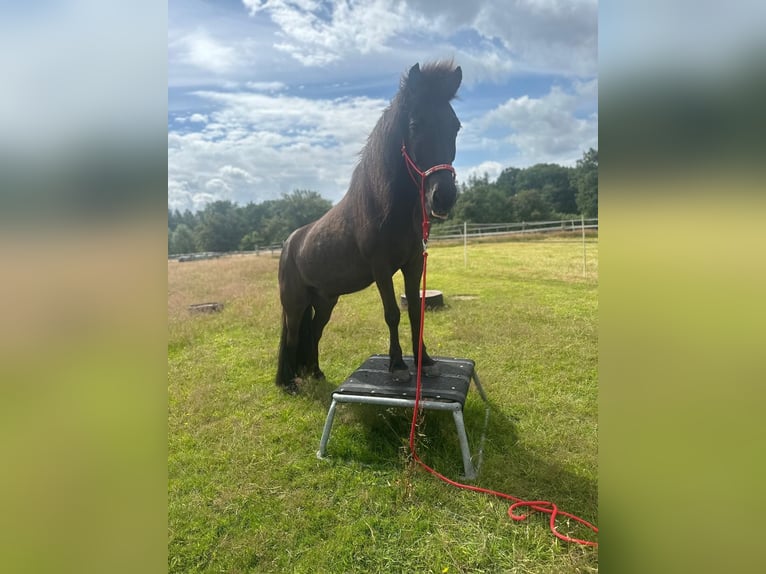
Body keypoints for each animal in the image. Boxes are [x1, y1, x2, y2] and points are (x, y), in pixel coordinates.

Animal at [280, 62, 464, 396]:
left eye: (454, 126)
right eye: (415, 124)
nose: (443, 196)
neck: (386, 208)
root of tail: (289, 244)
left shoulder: (414, 264)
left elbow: (415, 311)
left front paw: (426, 362)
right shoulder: (381, 268)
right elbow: (392, 313)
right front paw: (399, 367)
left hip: (324, 301)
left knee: (314, 333)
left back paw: (315, 372)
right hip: (295, 303)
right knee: (292, 335)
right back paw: (289, 383)